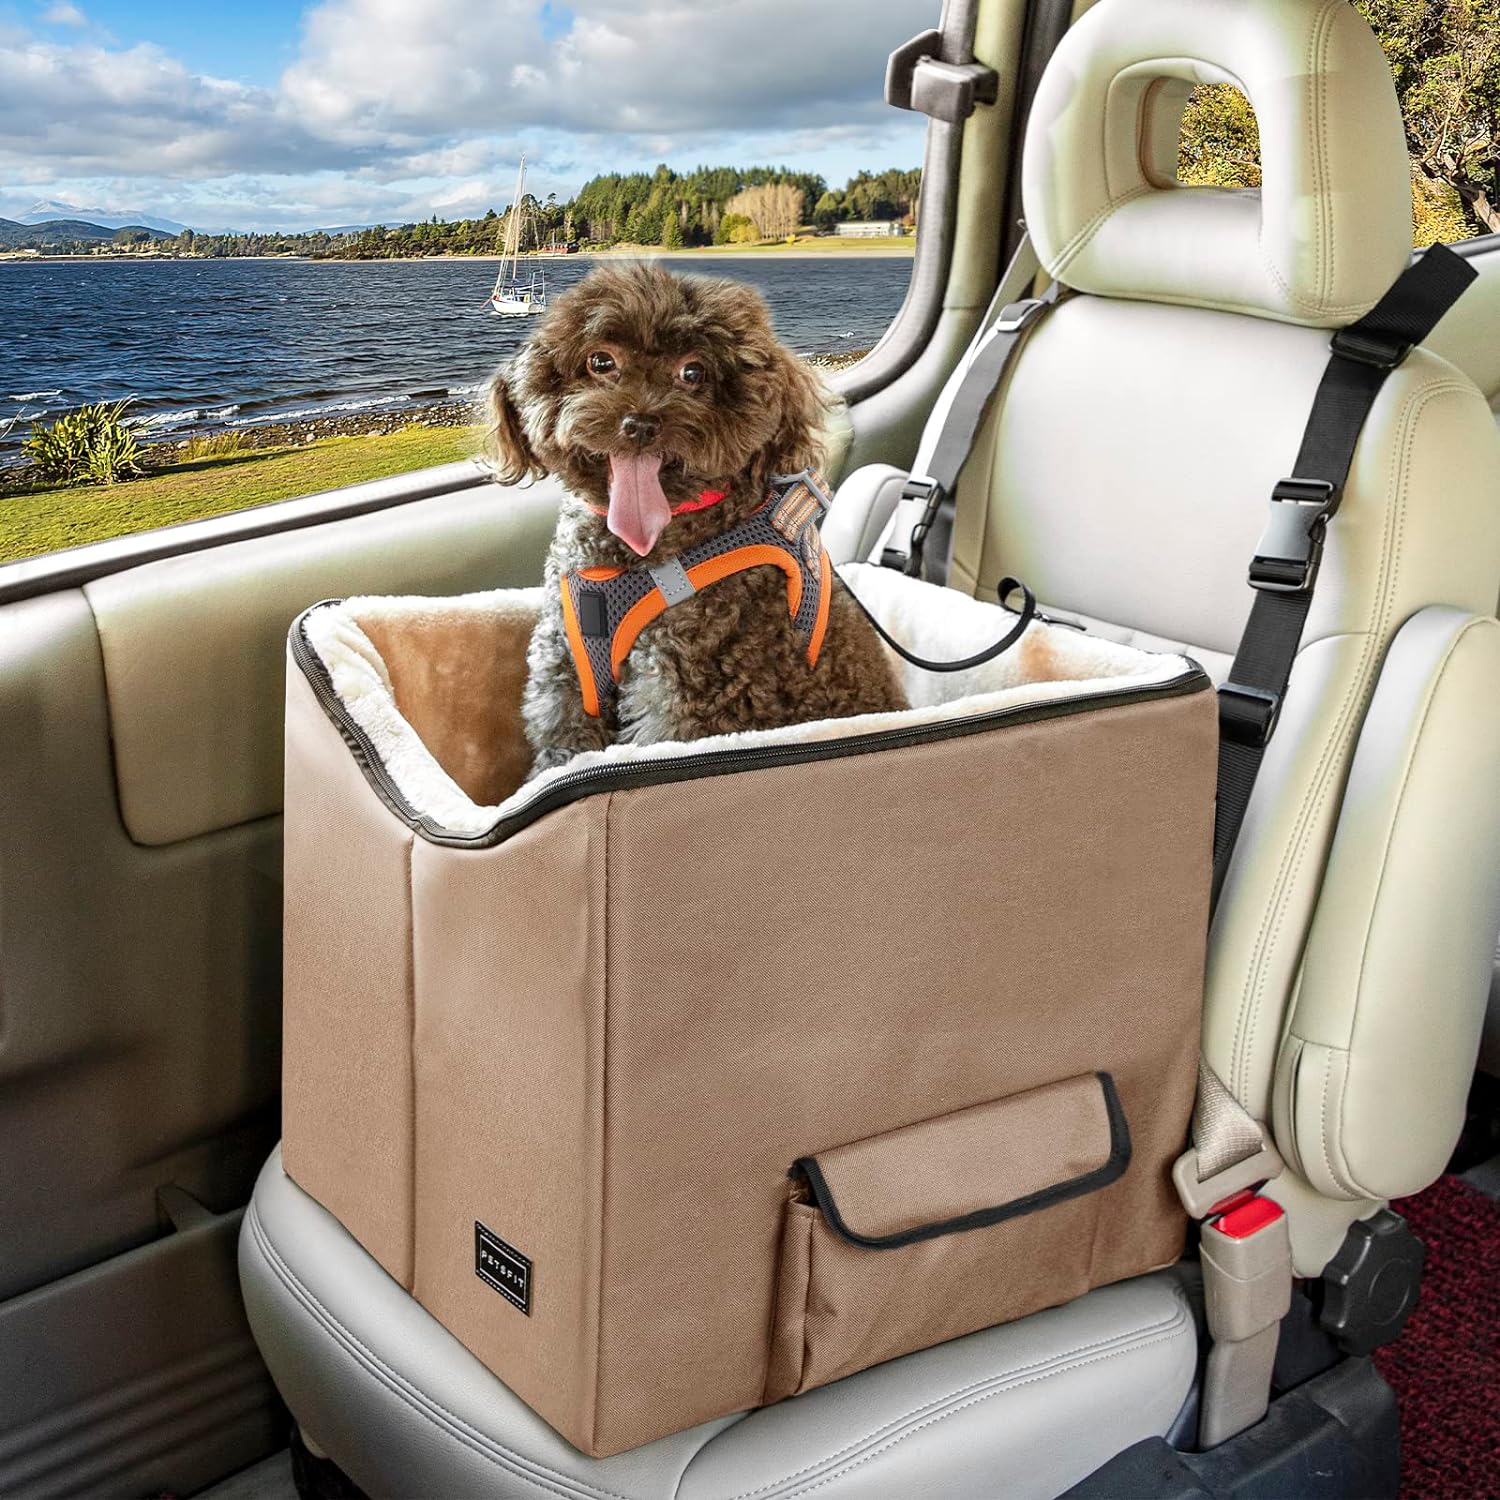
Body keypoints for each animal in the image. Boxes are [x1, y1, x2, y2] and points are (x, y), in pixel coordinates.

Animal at [495, 261, 900, 774]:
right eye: (600, 362)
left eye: (693, 371)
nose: (640, 424)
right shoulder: (566, 668)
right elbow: (562, 747)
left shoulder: (687, 682)